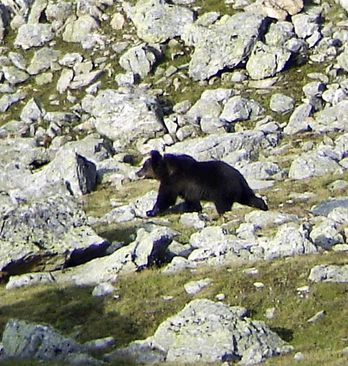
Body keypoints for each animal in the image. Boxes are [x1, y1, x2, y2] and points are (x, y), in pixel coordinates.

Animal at [135, 149, 268, 216]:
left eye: (144, 166)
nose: (137, 172)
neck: (166, 170)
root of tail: (239, 177)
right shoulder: (187, 187)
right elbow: (191, 200)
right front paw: (195, 209)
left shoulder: (175, 181)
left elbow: (166, 197)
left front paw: (151, 211)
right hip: (240, 189)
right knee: (249, 197)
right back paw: (263, 205)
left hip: (222, 189)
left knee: (222, 204)